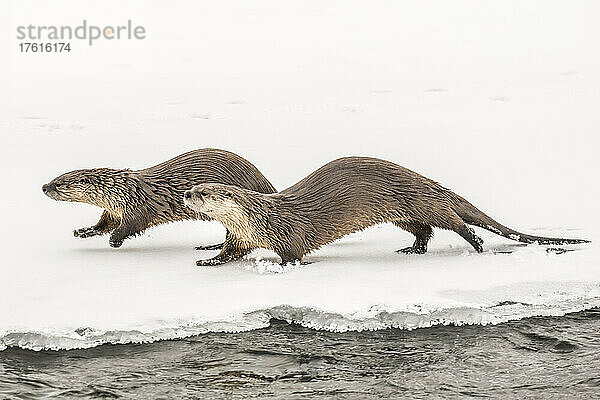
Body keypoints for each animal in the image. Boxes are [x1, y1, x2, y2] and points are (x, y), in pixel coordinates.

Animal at [42, 148, 276, 247]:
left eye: (59, 184)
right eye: (55, 178)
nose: (44, 186)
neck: (120, 191)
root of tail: (265, 183)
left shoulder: (137, 207)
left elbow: (132, 225)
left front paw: (114, 240)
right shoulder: (114, 209)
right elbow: (104, 224)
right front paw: (84, 231)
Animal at [183, 156, 592, 266]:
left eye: (203, 192)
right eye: (193, 188)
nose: (186, 193)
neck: (260, 219)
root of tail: (431, 182)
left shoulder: (288, 235)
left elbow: (293, 255)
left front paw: (282, 267)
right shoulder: (240, 237)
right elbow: (229, 252)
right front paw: (208, 260)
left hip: (425, 203)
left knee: (455, 223)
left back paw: (476, 246)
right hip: (404, 214)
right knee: (424, 232)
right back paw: (411, 250)